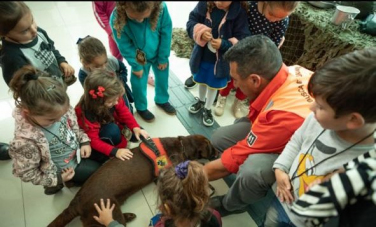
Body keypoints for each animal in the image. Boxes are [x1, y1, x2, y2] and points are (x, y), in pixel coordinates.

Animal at [47, 135, 217, 227]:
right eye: (211, 147)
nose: (217, 153)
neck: (182, 146)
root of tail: (76, 201)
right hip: (108, 209)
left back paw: (128, 215)